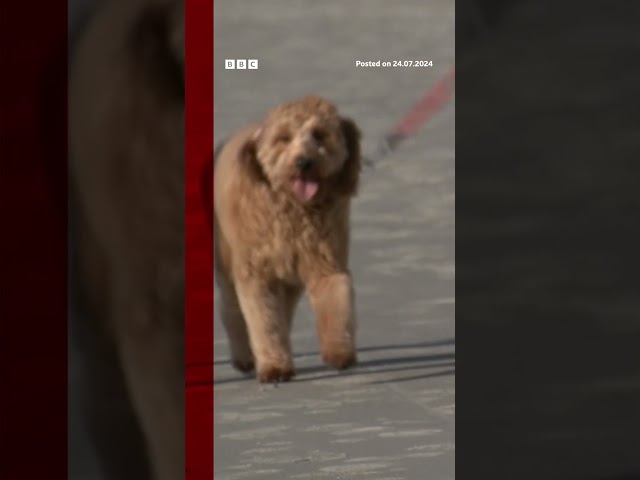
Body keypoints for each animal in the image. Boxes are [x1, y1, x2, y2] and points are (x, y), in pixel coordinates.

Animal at [215, 96, 362, 382]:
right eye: (283, 138)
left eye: (319, 134)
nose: (304, 162)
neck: (294, 208)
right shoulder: (256, 276)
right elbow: (263, 321)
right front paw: (274, 367)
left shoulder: (326, 264)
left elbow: (336, 303)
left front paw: (339, 352)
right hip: (227, 261)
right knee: (233, 311)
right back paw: (244, 357)